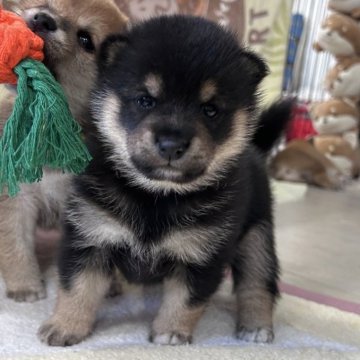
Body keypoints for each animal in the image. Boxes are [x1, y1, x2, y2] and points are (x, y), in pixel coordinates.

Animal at [0, 0, 128, 302]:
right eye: (46, 4)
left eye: (85, 40)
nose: (43, 19)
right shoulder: (15, 199)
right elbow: (15, 248)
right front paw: (24, 286)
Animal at [39, 16, 292, 346]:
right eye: (145, 100)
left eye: (210, 109)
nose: (172, 144)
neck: (156, 196)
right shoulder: (91, 236)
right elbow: (77, 288)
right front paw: (65, 326)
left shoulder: (203, 255)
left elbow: (185, 301)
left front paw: (170, 332)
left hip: (257, 237)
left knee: (258, 284)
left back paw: (256, 326)